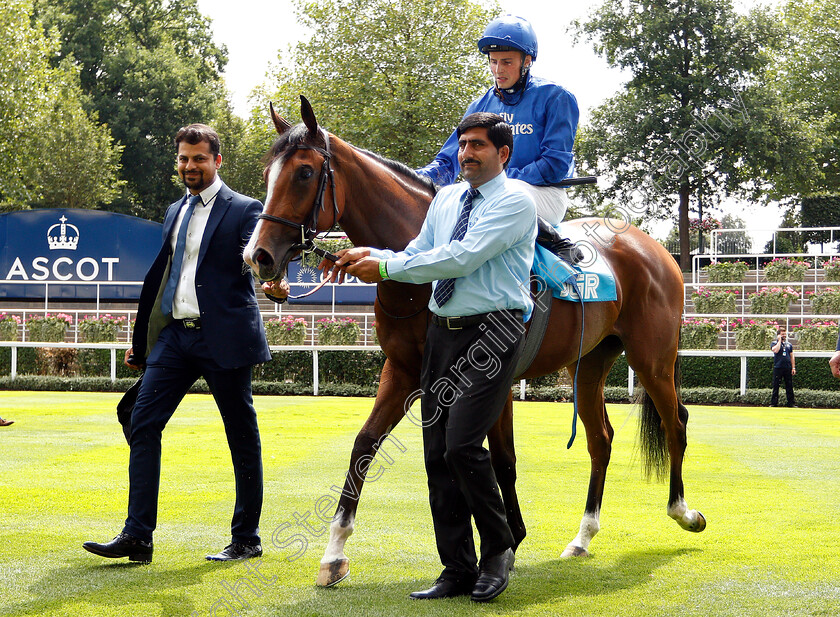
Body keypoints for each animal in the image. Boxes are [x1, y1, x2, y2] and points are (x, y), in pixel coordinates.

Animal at [244, 96, 708, 588]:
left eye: (304, 172)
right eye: (268, 172)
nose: (259, 255)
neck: (419, 281)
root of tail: (654, 248)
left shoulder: (490, 380)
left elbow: (501, 458)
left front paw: (510, 541)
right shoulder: (404, 372)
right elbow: (366, 444)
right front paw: (334, 552)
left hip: (652, 359)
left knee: (676, 423)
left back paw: (683, 511)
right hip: (589, 365)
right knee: (600, 439)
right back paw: (582, 537)